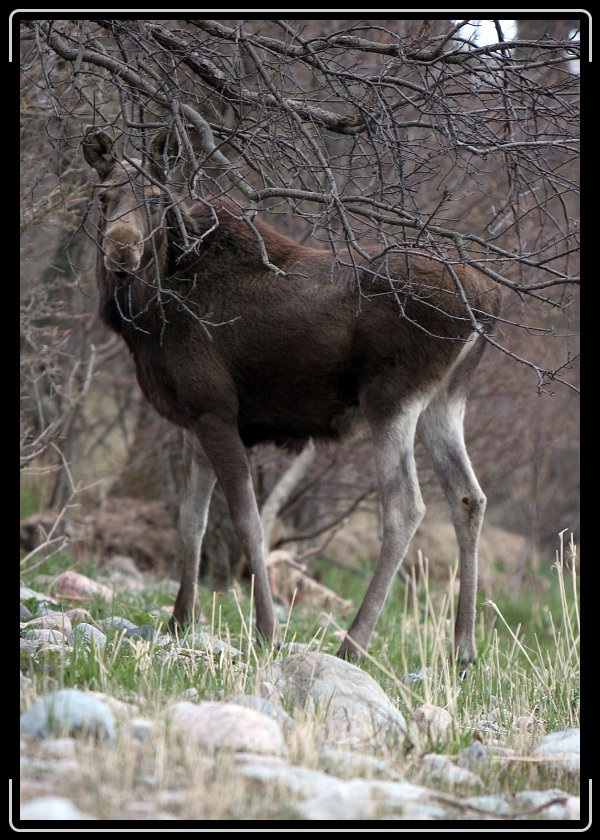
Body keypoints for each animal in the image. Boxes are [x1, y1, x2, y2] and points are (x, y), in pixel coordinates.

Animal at [82, 126, 500, 668]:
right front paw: (178, 622)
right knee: (468, 497)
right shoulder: (193, 418)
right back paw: (464, 650)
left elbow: (247, 521)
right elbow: (190, 520)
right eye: (102, 196)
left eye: (155, 199)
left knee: (405, 507)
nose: (121, 252)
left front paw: (267, 632)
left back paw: (353, 642)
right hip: (445, 402)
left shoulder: (217, 411)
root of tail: (488, 305)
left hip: (390, 398)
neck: (148, 315)